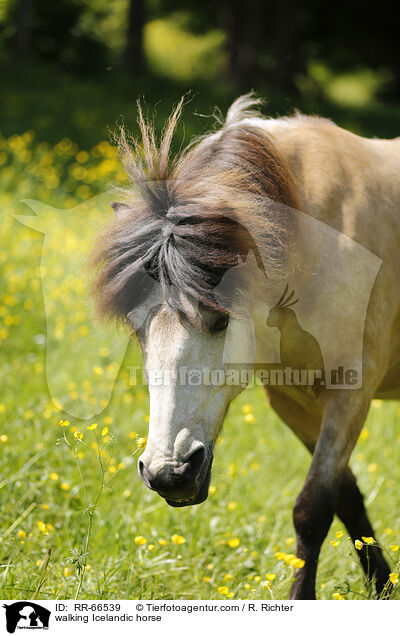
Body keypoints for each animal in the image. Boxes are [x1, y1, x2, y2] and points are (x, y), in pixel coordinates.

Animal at [90, 95, 400, 600]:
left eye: (219, 319)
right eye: (138, 331)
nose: (169, 473)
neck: (316, 239)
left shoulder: (350, 394)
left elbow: (314, 506)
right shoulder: (293, 400)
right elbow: (346, 496)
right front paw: (382, 584)